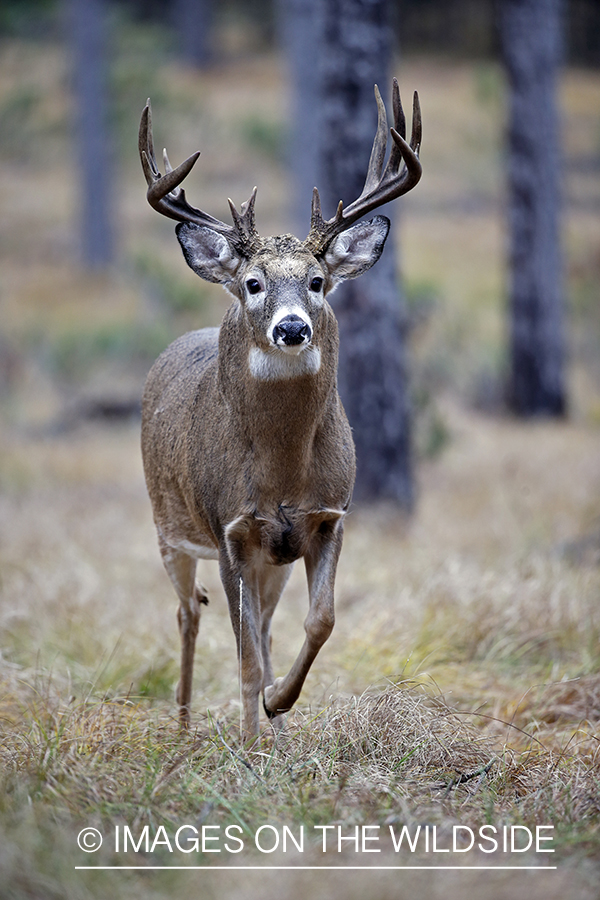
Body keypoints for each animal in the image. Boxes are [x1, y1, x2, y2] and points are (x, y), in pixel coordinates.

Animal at [140, 79, 422, 740]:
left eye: (317, 281)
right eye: (253, 283)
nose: (292, 328)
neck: (283, 472)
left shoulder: (326, 518)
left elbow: (319, 622)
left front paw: (278, 706)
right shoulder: (230, 528)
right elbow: (242, 653)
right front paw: (249, 742)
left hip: (274, 560)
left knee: (263, 626)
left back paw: (272, 722)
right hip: (169, 527)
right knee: (188, 613)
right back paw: (184, 727)